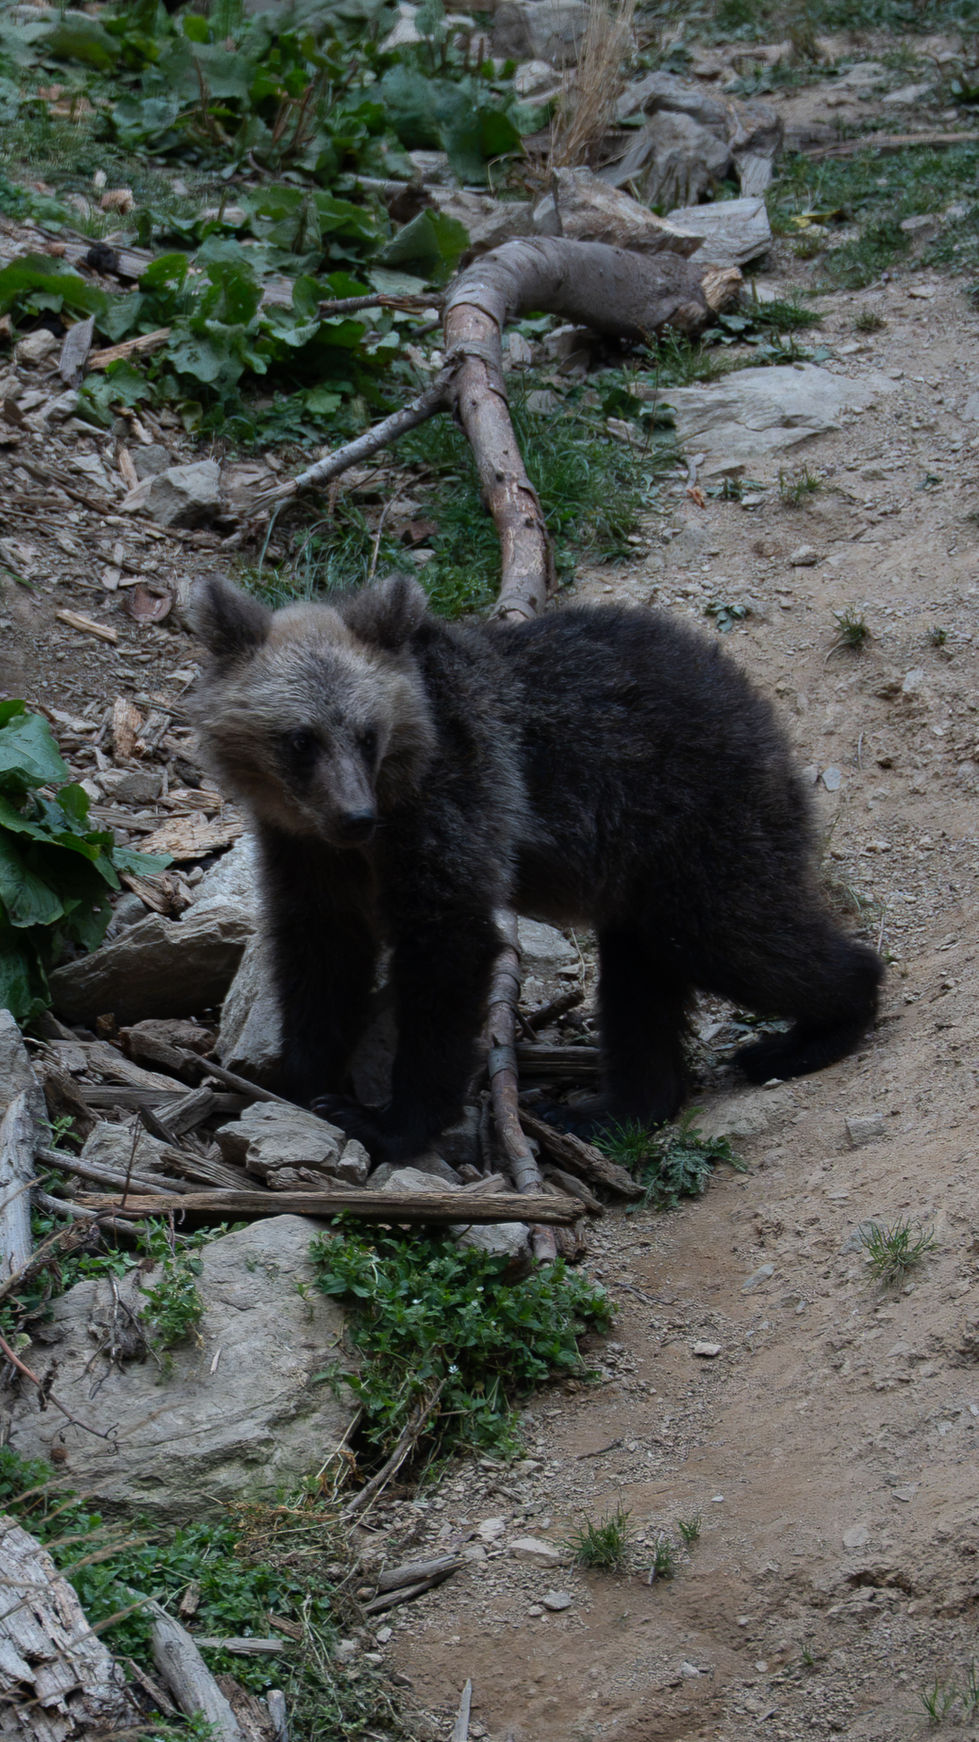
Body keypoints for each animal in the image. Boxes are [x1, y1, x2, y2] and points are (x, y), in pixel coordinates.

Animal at [190, 573, 883, 1165]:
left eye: (366, 734)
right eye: (301, 739)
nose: (356, 816)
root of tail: (753, 700)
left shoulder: (453, 804)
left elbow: (448, 949)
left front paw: (387, 1120)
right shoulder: (305, 850)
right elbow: (321, 953)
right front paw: (302, 1079)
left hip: (696, 819)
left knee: (733, 934)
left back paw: (810, 1031)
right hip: (638, 867)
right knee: (642, 979)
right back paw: (609, 1109)